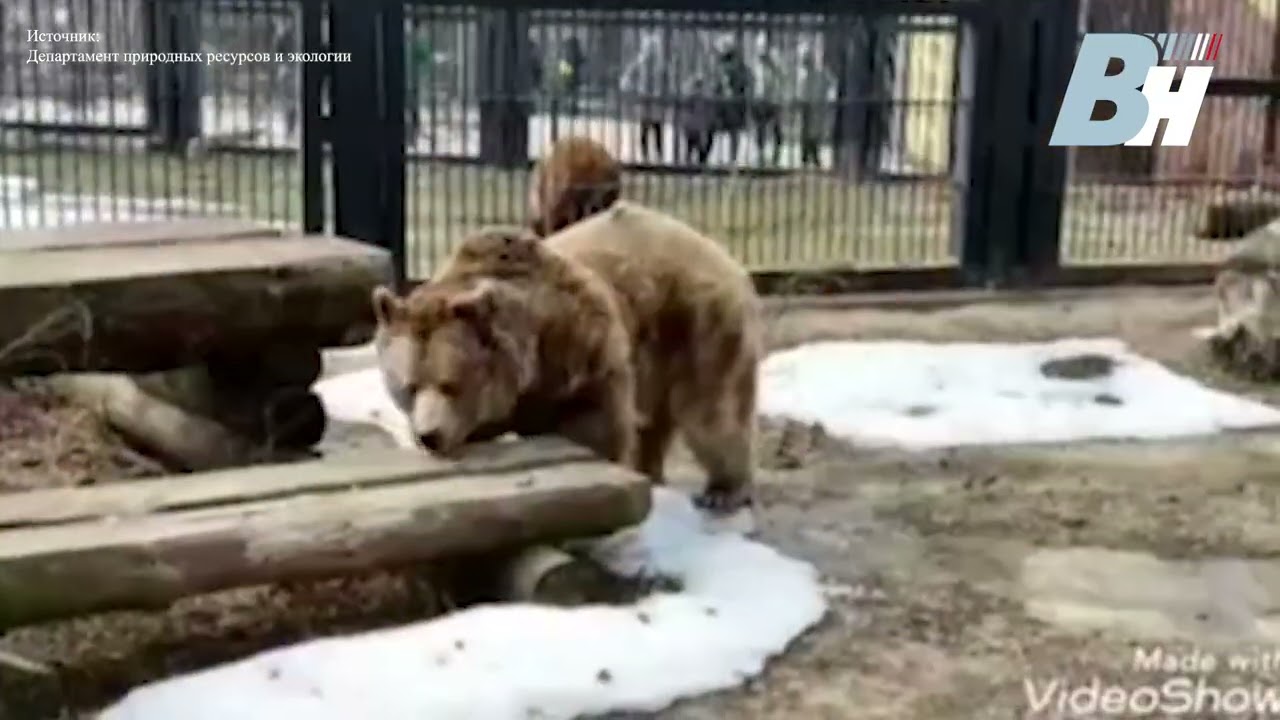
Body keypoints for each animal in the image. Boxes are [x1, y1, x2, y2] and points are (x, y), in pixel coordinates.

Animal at [419, 198, 762, 509]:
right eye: (411, 386)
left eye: (450, 385)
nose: (429, 436)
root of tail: (727, 259)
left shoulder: (580, 349)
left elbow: (597, 423)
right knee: (657, 422)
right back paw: (650, 471)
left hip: (698, 324)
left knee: (706, 413)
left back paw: (724, 490)